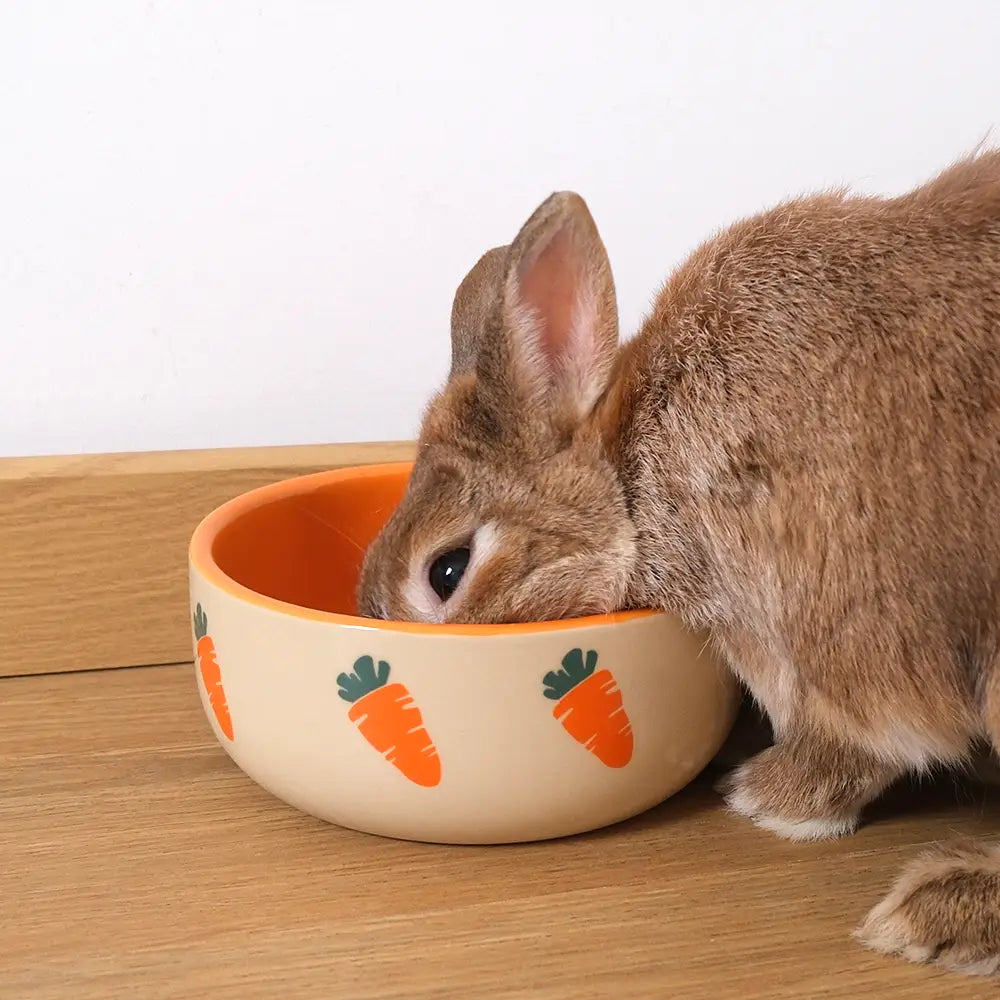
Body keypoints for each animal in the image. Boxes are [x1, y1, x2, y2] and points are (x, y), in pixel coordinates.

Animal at [357, 149, 1000, 977]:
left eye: (446, 569)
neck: (629, 479)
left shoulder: (829, 632)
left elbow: (866, 740)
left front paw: (768, 799)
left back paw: (937, 911)